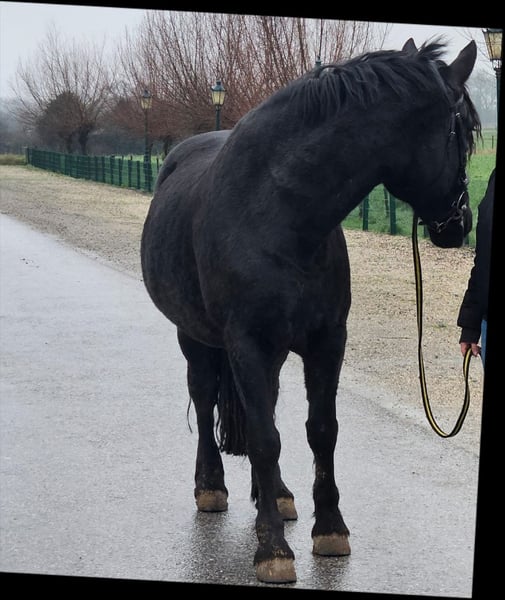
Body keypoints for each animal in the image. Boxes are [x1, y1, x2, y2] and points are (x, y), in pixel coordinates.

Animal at [140, 39, 481, 584]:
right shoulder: (248, 345)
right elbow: (264, 439)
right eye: (464, 133)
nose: (460, 222)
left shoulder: (327, 342)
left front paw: (330, 529)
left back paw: (276, 495)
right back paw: (211, 485)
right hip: (195, 339)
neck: (278, 212)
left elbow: (319, 432)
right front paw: (273, 550)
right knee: (206, 395)